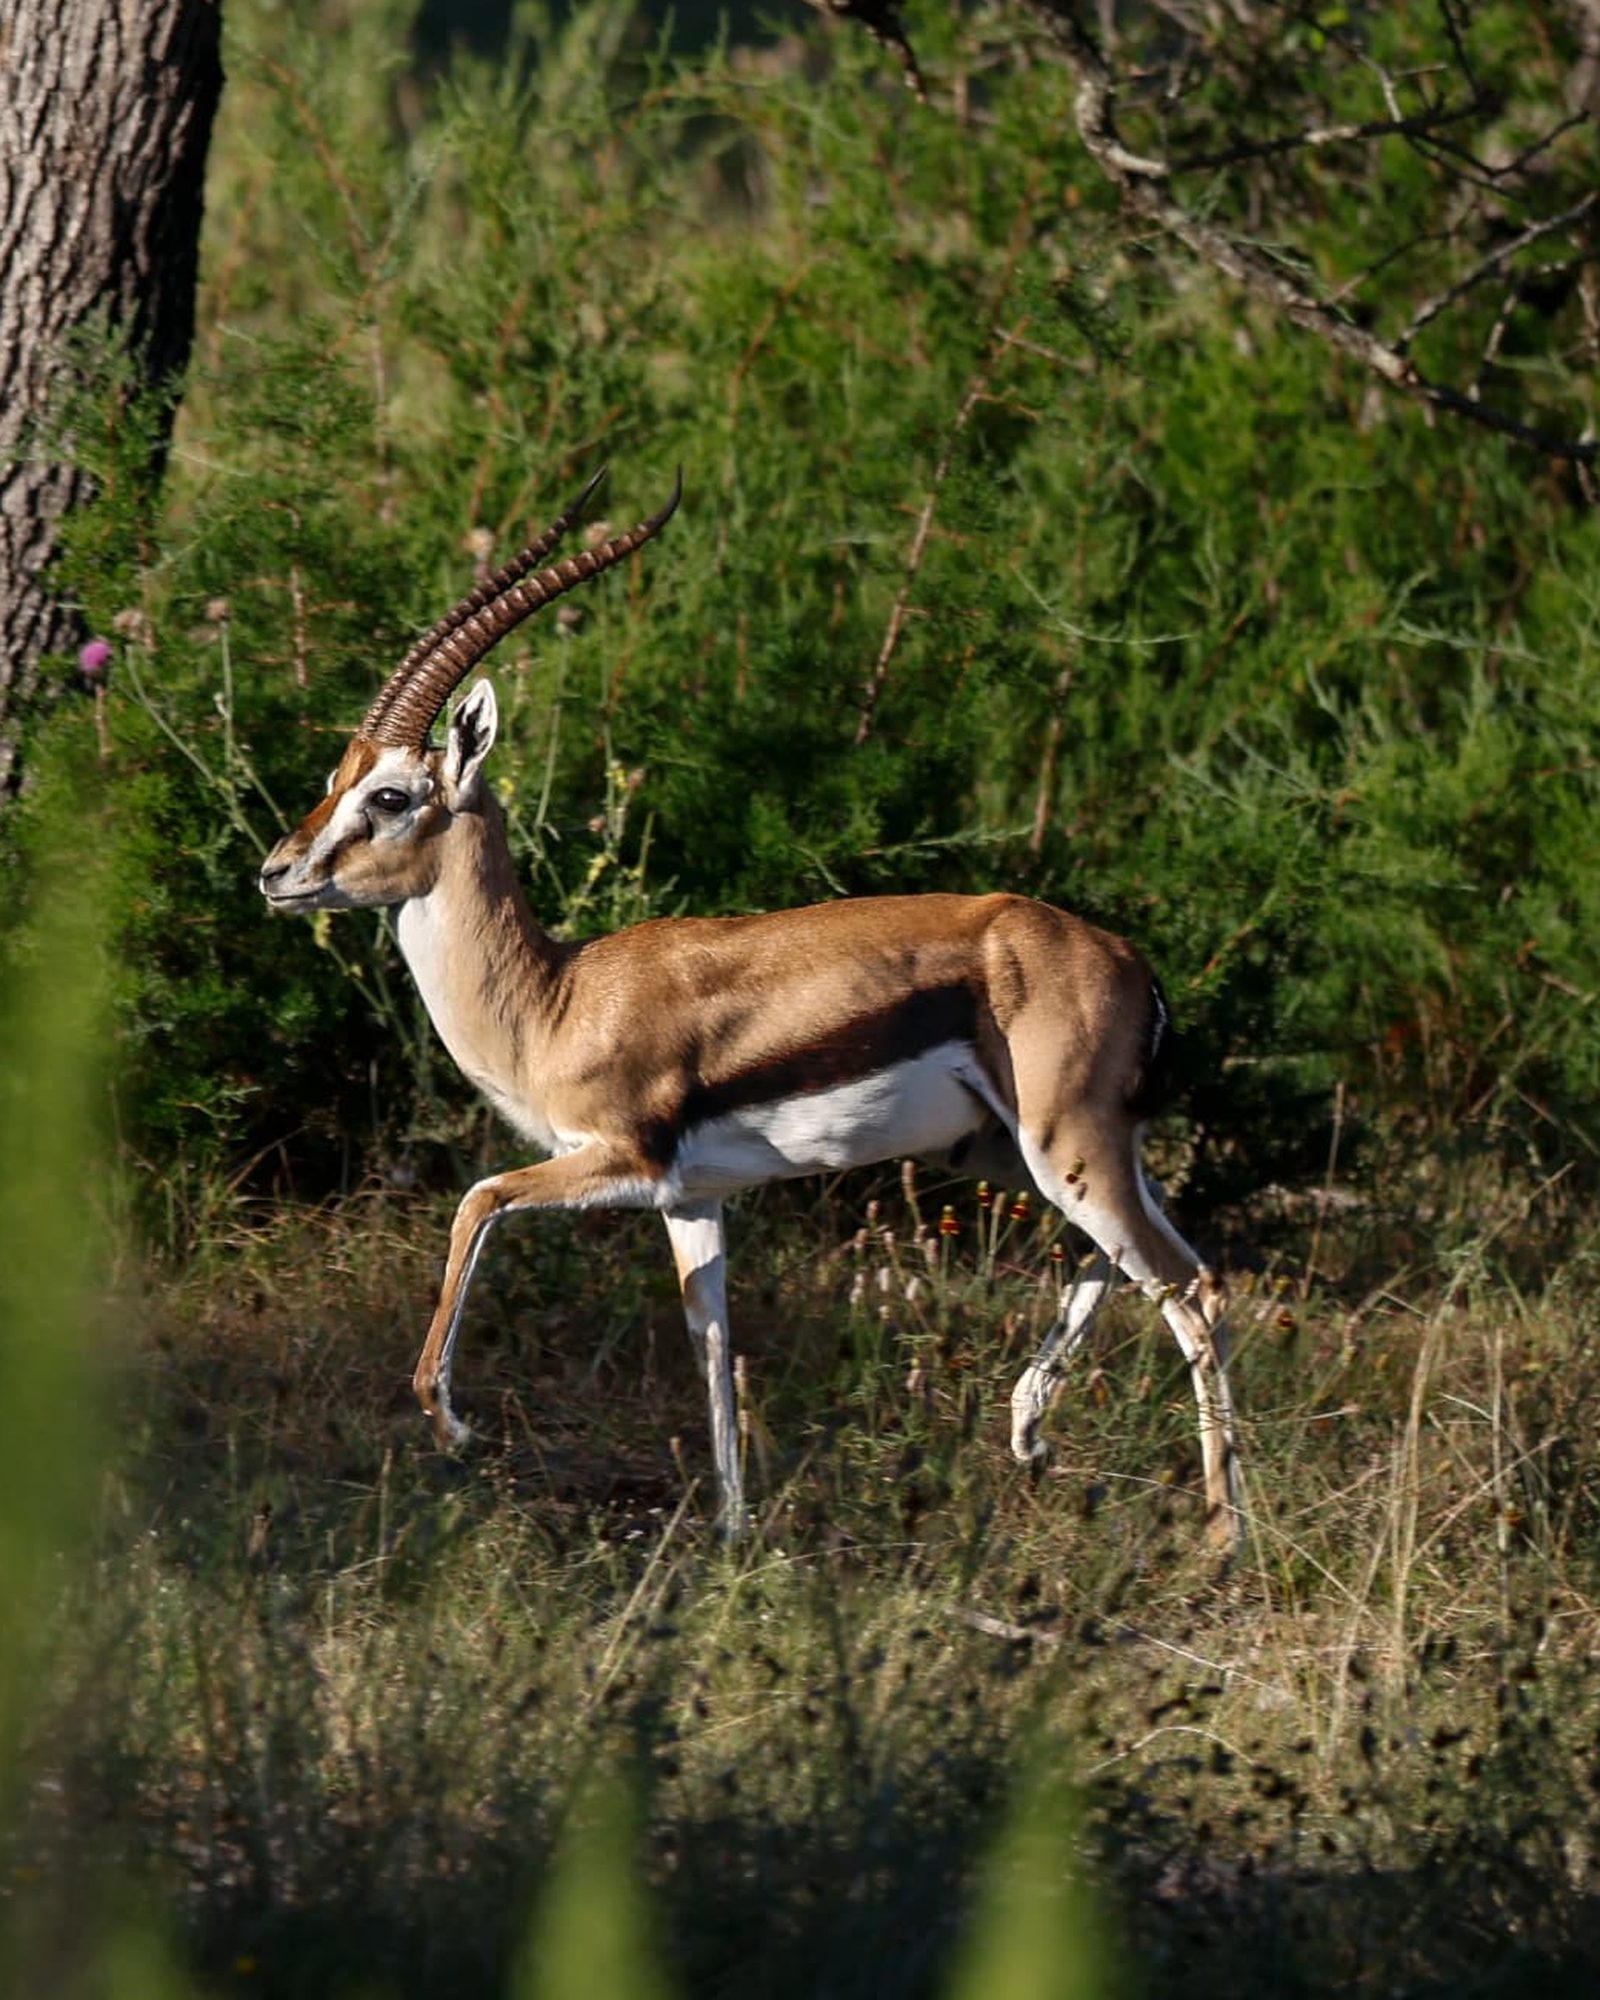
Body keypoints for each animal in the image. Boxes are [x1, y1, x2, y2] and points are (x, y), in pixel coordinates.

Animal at [259, 472, 1242, 1549]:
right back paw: (1029, 1434)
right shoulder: (693, 1198)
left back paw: (1222, 1532)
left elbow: (478, 1199)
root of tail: (1130, 961)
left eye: (392, 796)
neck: (558, 998)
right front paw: (733, 1529)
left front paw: (453, 1423)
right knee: (1137, 1256)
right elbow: (710, 1334)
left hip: (1066, 1149)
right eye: (334, 782)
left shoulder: (619, 1160)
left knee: (1189, 1283)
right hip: (1018, 1152)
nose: (276, 874)